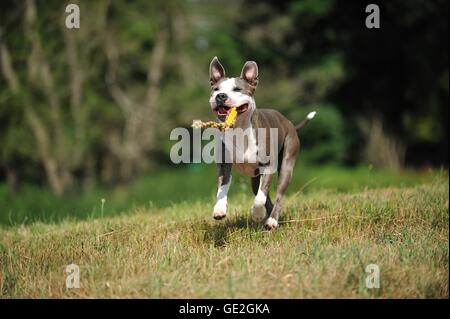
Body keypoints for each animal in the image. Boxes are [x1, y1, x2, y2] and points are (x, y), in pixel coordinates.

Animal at [208, 55, 316, 230]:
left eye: (237, 89)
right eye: (216, 89)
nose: (221, 96)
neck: (239, 130)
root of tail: (290, 123)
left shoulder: (267, 166)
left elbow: (260, 197)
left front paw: (257, 214)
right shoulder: (224, 166)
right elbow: (222, 189)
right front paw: (219, 209)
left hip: (287, 163)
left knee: (278, 195)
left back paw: (271, 220)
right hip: (255, 178)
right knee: (266, 198)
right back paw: (269, 220)